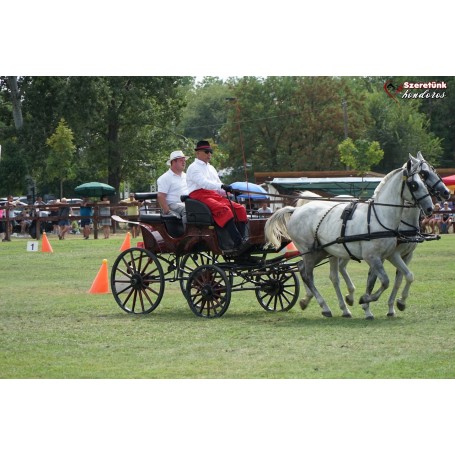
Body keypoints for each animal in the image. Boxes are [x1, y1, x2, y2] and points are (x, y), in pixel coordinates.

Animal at [268, 157, 434, 320]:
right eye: (414, 185)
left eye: (423, 181)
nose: (430, 208)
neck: (380, 217)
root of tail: (296, 210)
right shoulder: (372, 257)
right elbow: (385, 281)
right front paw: (365, 300)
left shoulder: (389, 255)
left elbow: (391, 279)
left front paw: (374, 306)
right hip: (309, 251)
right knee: (307, 275)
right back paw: (325, 307)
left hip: (321, 251)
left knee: (307, 270)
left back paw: (324, 305)